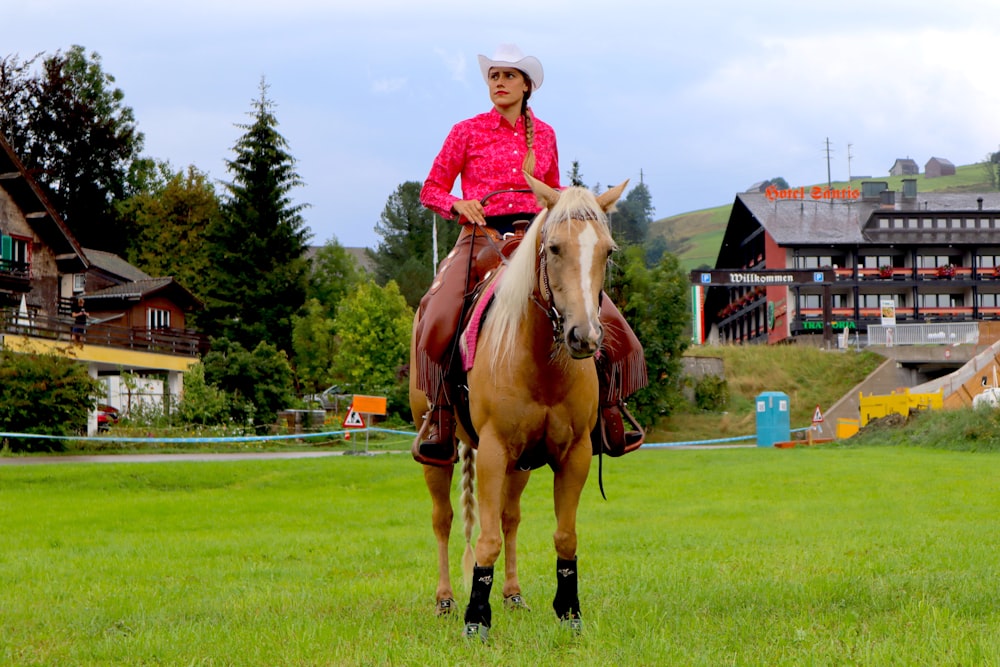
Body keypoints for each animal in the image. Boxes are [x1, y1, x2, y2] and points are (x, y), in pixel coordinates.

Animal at [408, 175, 624, 640]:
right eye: (555, 248)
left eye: (608, 251)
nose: (584, 336)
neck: (539, 362)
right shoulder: (492, 450)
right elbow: (484, 539)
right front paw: (476, 619)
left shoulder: (575, 454)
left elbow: (565, 535)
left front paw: (569, 612)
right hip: (439, 454)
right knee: (443, 519)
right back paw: (446, 600)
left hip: (521, 464)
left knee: (510, 518)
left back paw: (512, 594)